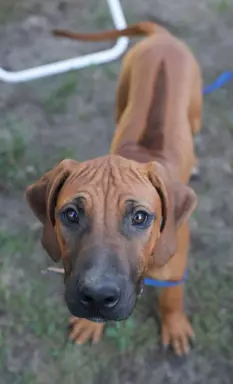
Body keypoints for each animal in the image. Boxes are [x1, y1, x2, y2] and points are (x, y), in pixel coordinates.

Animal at [26, 22, 202, 356]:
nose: (97, 297)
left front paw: (174, 325)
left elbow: (172, 295)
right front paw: (89, 323)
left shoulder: (176, 264)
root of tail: (163, 37)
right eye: (71, 214)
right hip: (123, 95)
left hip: (195, 112)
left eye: (140, 217)